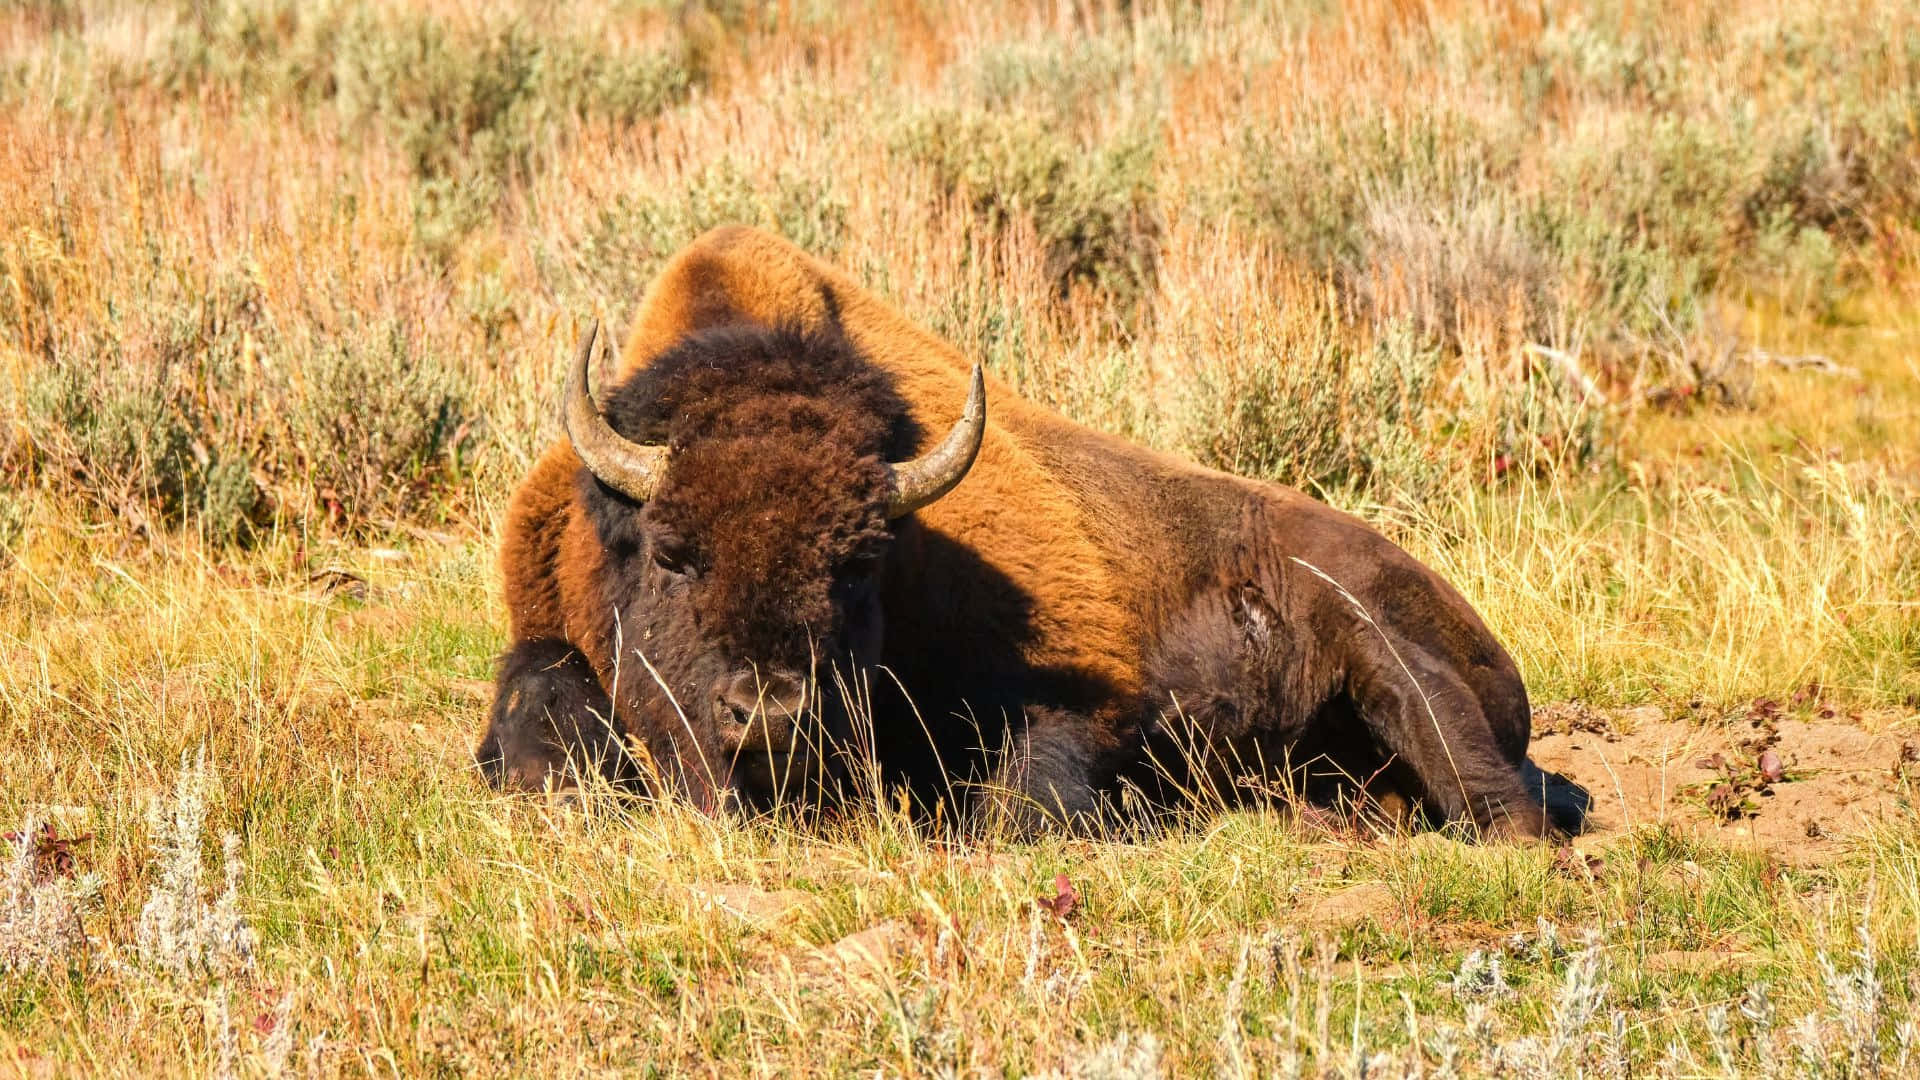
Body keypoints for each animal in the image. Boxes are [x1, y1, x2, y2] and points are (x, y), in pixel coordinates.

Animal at [476, 222, 1559, 837]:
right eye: (672, 554)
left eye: (859, 563)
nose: (775, 716)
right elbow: (539, 710)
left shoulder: (1071, 693)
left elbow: (1026, 800)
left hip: (1387, 651)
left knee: (1499, 800)